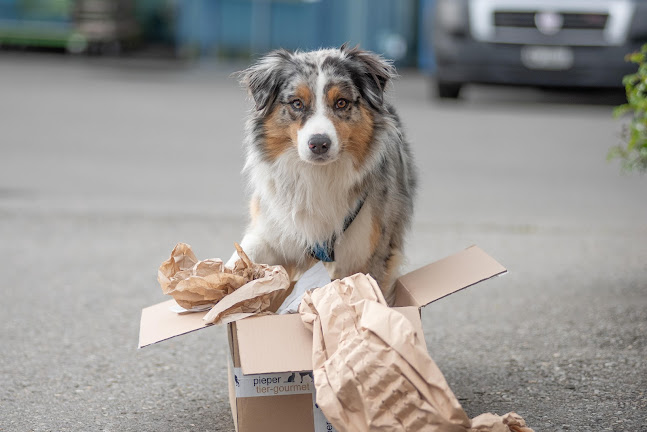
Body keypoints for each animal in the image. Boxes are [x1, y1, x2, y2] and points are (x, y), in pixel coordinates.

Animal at [230, 44, 418, 304]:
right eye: (297, 103)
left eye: (341, 103)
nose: (319, 143)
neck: (317, 175)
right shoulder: (271, 231)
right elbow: (245, 253)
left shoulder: (373, 251)